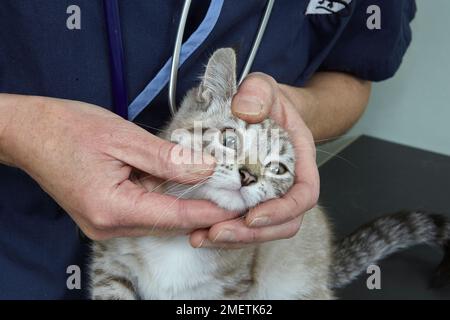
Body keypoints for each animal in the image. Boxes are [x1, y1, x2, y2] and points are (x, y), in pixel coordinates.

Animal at [89, 48, 450, 300]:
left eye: (278, 168)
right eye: (228, 139)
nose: (249, 175)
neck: (177, 244)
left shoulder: (233, 289)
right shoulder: (111, 265)